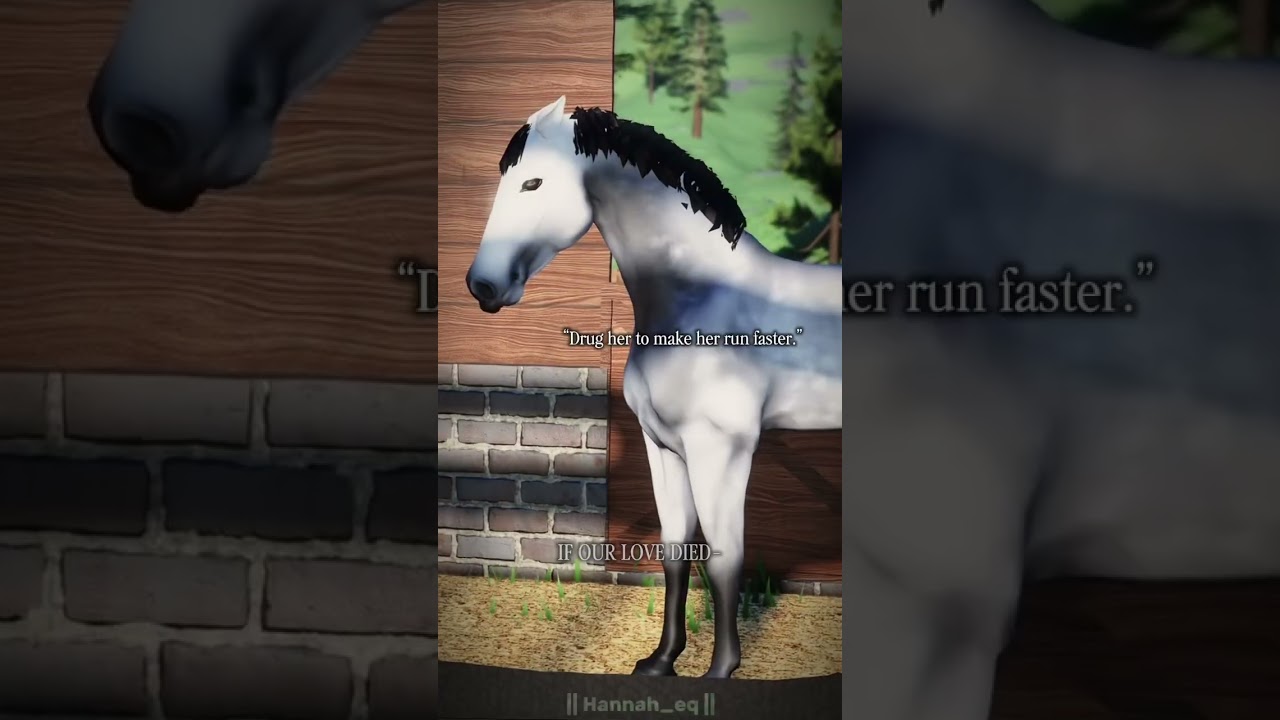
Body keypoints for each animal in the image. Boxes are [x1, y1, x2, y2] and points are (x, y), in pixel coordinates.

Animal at [464, 96, 842, 678]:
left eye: (532, 183)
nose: (482, 285)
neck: (700, 301)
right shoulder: (663, 448)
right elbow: (674, 549)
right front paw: (662, 661)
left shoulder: (721, 451)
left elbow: (724, 558)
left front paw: (720, 671)